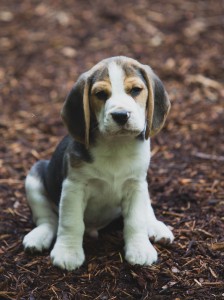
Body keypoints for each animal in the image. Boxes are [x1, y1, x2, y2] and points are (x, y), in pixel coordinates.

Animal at [23, 55, 173, 270]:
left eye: (136, 90)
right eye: (101, 94)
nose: (121, 115)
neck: (116, 146)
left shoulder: (135, 185)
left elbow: (136, 220)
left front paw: (139, 249)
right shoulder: (74, 187)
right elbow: (71, 222)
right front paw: (68, 252)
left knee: (147, 209)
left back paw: (156, 227)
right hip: (34, 177)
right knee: (48, 219)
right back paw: (39, 236)